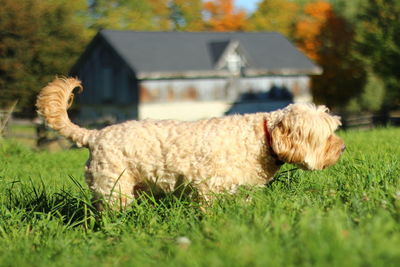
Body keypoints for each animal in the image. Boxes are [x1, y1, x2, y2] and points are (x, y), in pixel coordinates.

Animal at [36, 78, 346, 210]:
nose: (342, 147)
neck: (259, 139)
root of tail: (94, 135)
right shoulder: (210, 188)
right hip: (114, 189)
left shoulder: (241, 189)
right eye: (327, 135)